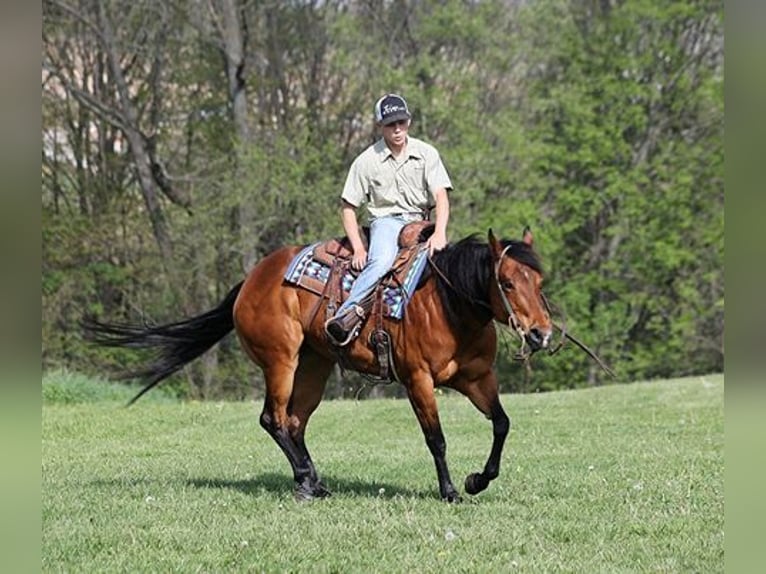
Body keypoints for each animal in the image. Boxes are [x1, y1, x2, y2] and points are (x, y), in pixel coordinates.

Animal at [86, 227, 553, 502]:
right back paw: (308, 480)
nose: (540, 334)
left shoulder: (478, 378)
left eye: (539, 281)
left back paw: (312, 480)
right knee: (273, 419)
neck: (447, 304)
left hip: (315, 366)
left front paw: (478, 480)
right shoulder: (417, 380)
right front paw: (451, 490)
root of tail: (251, 279)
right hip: (281, 361)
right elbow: (436, 439)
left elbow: (502, 423)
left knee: (294, 423)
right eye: (507, 282)